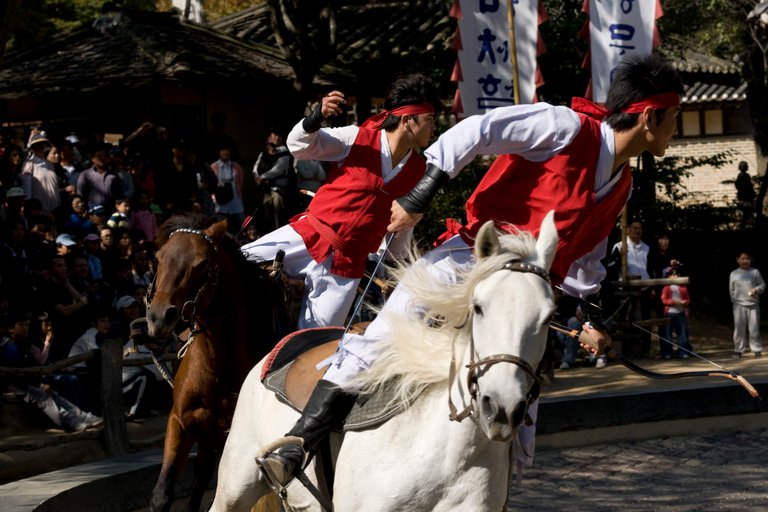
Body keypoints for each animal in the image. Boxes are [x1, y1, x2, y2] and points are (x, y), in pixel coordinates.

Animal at [147, 215, 294, 512]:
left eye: (203, 263)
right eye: (159, 257)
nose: (158, 317)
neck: (218, 368)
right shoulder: (180, 422)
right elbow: (162, 495)